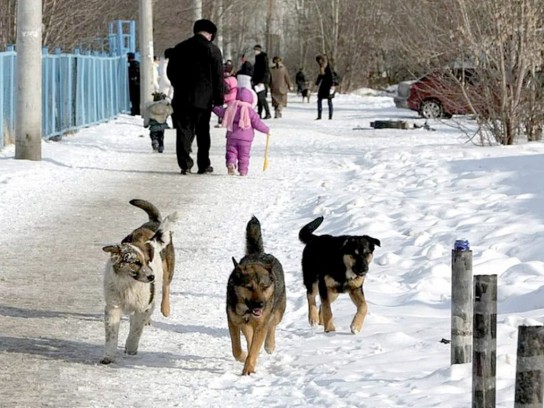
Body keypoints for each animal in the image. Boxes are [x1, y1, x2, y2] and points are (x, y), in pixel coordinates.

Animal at [100, 202, 178, 364]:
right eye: (135, 262)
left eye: (148, 261)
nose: (151, 277)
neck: (128, 284)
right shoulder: (113, 306)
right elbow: (111, 334)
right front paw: (108, 356)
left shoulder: (143, 307)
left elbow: (136, 328)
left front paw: (130, 348)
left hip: (167, 269)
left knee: (165, 288)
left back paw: (165, 308)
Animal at [225, 217, 286, 376]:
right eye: (249, 287)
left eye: (264, 287)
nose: (260, 305)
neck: (247, 310)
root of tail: (259, 254)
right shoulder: (234, 321)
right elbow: (236, 349)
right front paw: (243, 357)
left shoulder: (261, 324)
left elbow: (255, 346)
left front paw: (248, 369)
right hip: (245, 323)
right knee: (249, 336)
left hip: (277, 311)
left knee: (272, 325)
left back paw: (269, 345)